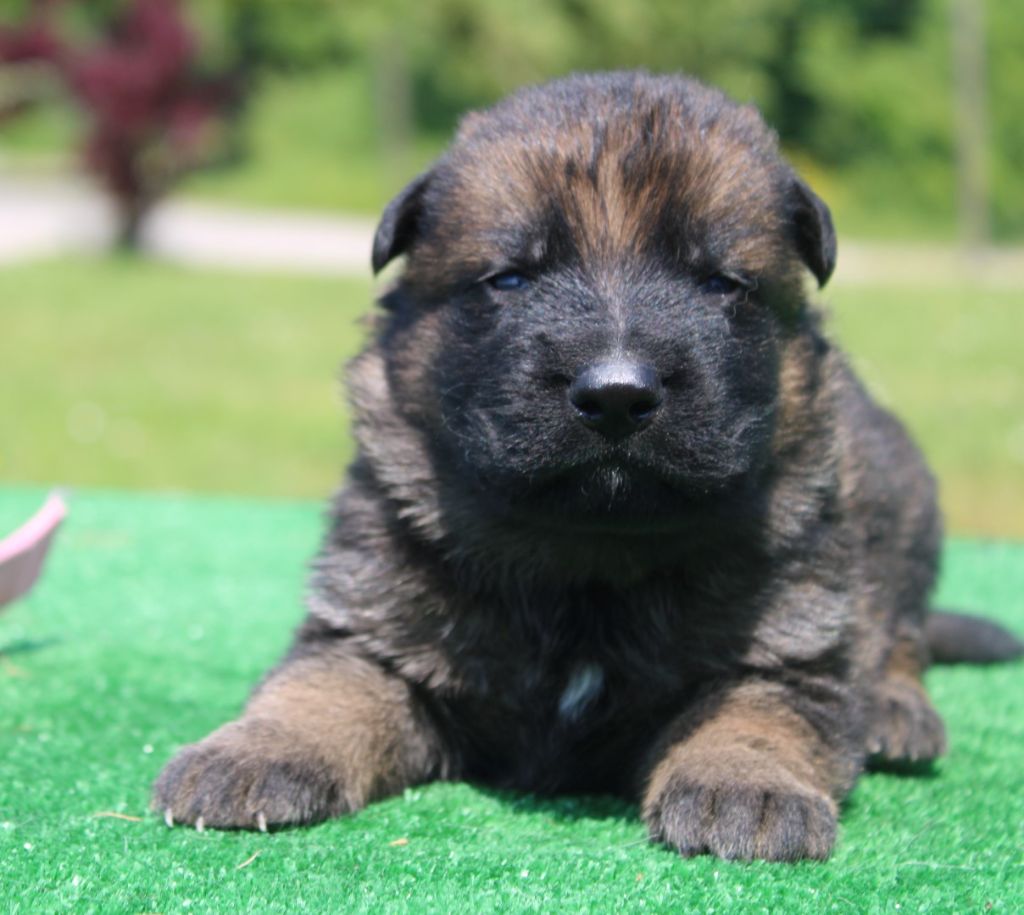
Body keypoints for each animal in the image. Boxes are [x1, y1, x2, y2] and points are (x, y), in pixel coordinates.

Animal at [153, 69, 1024, 859]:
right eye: (509, 278)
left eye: (721, 283)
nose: (615, 393)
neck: (585, 560)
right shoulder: (371, 626)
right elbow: (317, 687)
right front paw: (252, 750)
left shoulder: (792, 646)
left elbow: (755, 710)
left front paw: (748, 783)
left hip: (905, 506)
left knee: (901, 631)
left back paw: (897, 712)